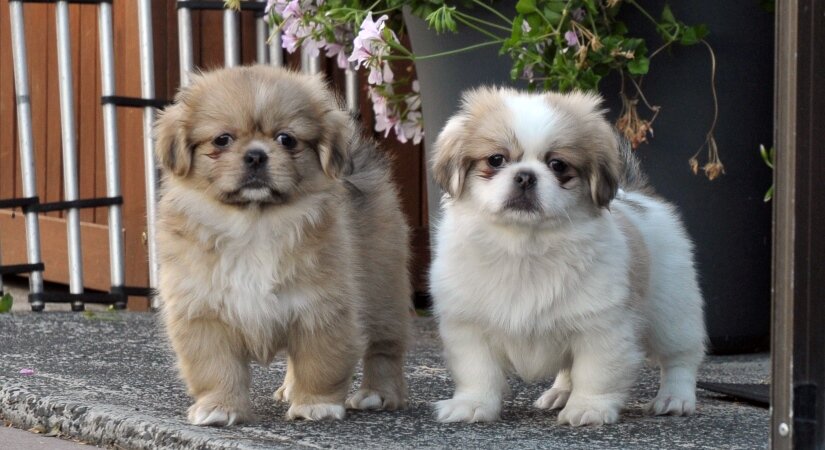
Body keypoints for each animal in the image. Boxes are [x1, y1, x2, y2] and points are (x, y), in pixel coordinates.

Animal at [153, 66, 410, 426]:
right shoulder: (203, 313)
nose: (256, 155)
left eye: (286, 139)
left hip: (384, 291)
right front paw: (219, 407)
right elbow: (217, 369)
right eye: (222, 140)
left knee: (385, 349)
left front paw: (316, 405)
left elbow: (320, 363)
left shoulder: (322, 309)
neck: (254, 223)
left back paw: (379, 393)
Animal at [428, 87, 704, 426]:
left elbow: (596, 373)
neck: (525, 247)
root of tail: (638, 196)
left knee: (681, 359)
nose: (525, 176)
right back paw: (559, 394)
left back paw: (675, 398)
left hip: (673, 313)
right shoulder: (469, 326)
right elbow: (478, 372)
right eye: (496, 160)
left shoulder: (601, 326)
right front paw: (472, 404)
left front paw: (588, 408)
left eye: (558, 165)